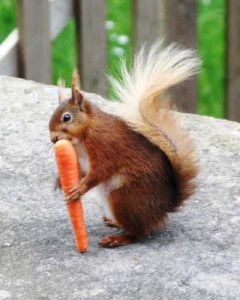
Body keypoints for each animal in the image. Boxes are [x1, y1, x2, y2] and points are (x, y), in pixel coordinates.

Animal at [48, 42, 199, 248]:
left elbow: (100, 171)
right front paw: (59, 180)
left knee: (138, 233)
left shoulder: (106, 146)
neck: (83, 137)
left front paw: (80, 188)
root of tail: (165, 208)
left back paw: (117, 238)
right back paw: (113, 222)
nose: (53, 139)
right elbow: (81, 171)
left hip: (124, 197)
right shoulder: (81, 159)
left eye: (66, 117)